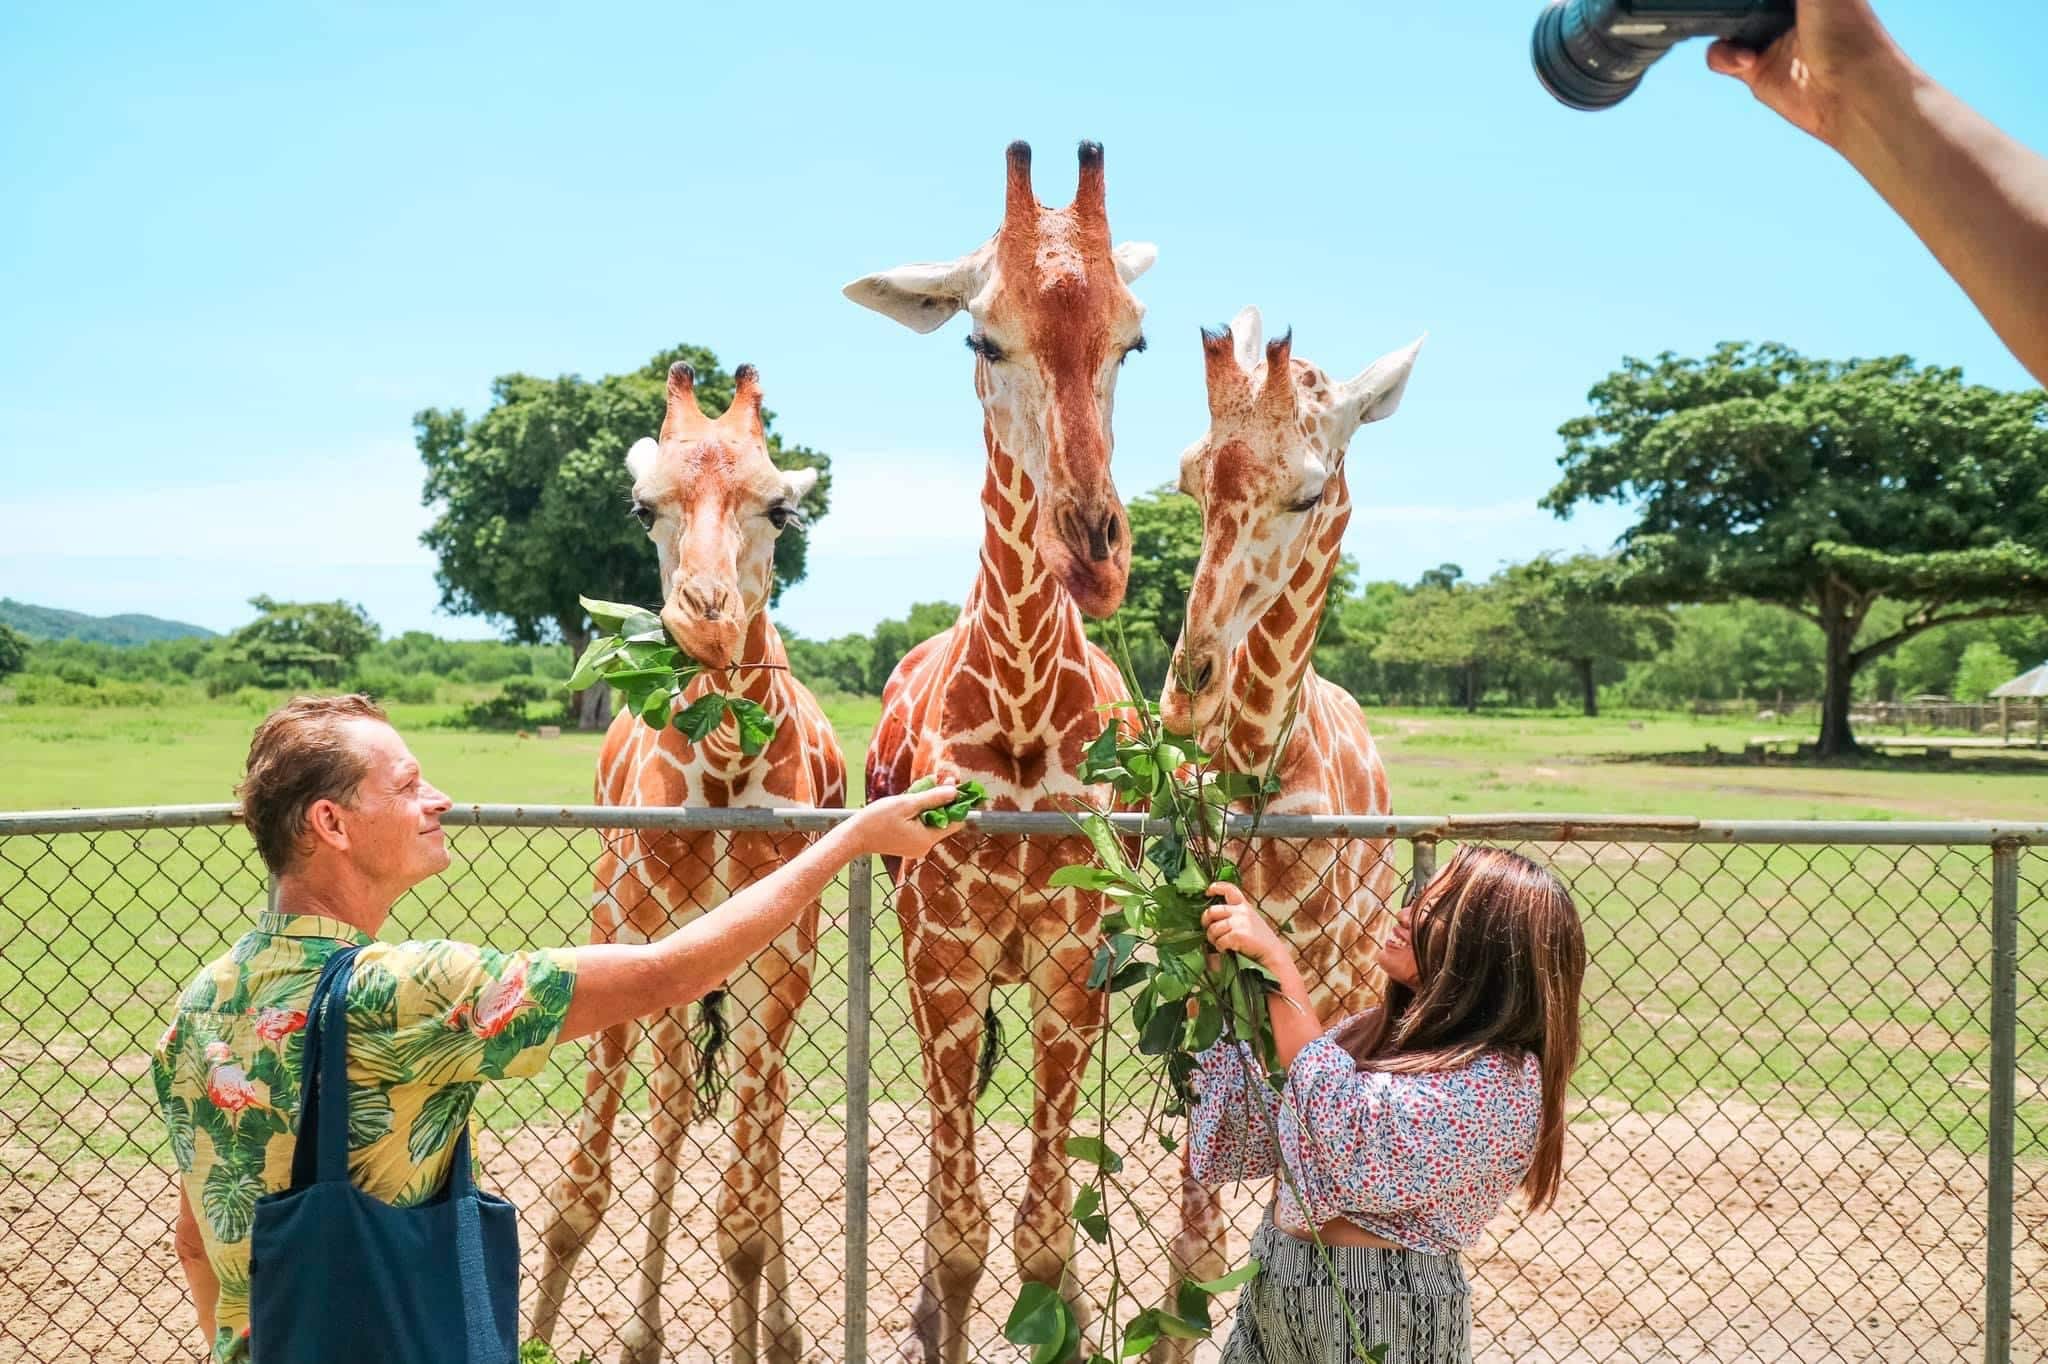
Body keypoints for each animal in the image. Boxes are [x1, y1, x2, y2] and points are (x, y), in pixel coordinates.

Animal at [528, 361, 847, 1364]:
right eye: (643, 507)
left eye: (782, 510)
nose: (703, 617)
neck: (720, 772)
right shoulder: (624, 934)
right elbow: (576, 1197)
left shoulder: (778, 962)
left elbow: (740, 1218)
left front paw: (763, 1334)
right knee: (670, 1100)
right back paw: (643, 1334)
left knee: (768, 1120)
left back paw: (775, 1333)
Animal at [842, 139, 1157, 1364]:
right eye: (982, 337)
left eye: (1134, 340)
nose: (1093, 549)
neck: (1022, 713)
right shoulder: (942, 961)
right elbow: (961, 1235)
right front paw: (938, 1315)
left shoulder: (1075, 965)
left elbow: (1042, 1241)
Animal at [1156, 310, 1425, 1359]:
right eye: (1188, 477)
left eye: (1308, 490)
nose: (1187, 684)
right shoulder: (1202, 997)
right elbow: (1193, 1260)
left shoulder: (1328, 993)